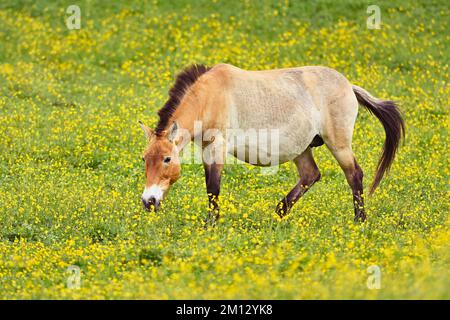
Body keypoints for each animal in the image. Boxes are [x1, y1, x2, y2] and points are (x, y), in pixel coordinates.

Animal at [138, 62, 404, 222]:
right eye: (144, 159)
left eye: (167, 159)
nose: (148, 202)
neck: (209, 97)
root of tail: (349, 85)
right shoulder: (206, 150)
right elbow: (210, 188)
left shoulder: (218, 148)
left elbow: (213, 188)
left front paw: (210, 226)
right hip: (301, 149)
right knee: (311, 175)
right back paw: (279, 214)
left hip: (338, 144)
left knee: (354, 175)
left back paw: (360, 221)